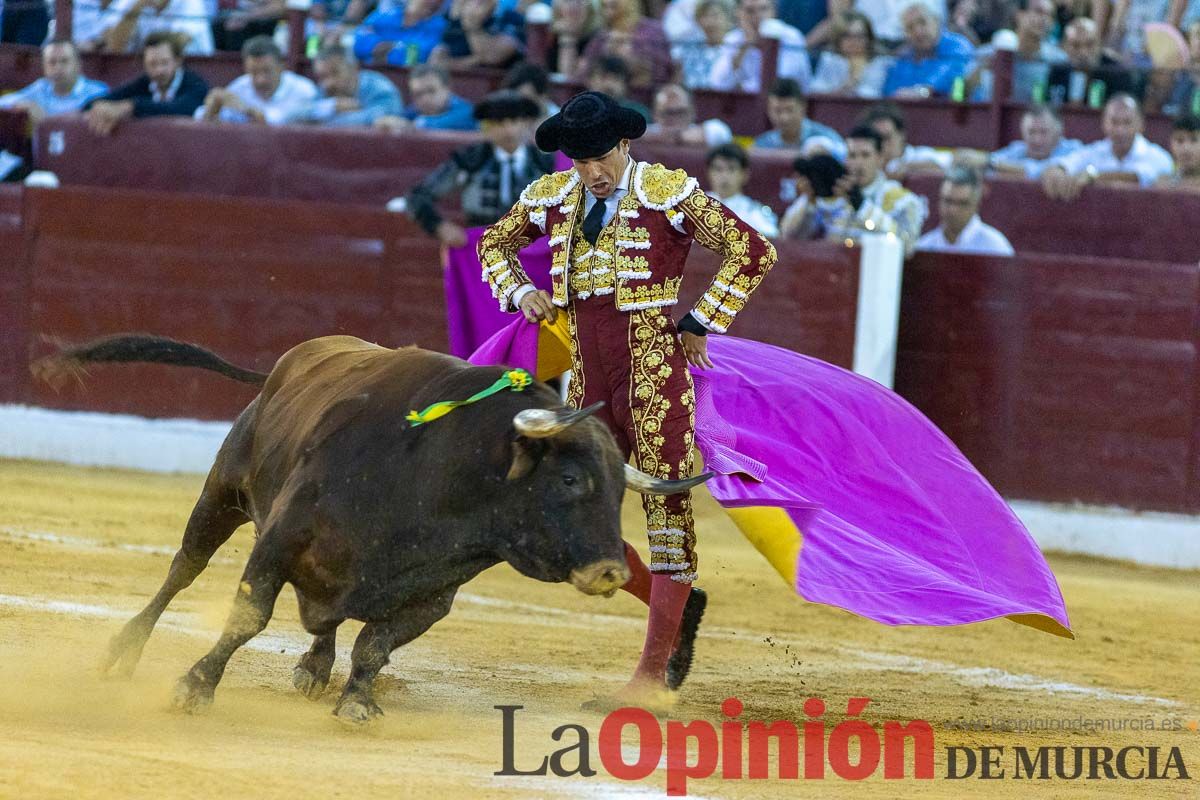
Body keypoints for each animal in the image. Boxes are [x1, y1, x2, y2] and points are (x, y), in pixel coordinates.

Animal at [37, 335, 705, 724]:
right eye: (569, 479)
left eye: (620, 491)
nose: (610, 569)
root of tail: (288, 364)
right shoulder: (281, 539)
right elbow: (248, 617)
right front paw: (195, 686)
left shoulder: (434, 593)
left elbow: (375, 645)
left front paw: (357, 701)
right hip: (221, 494)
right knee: (183, 570)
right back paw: (121, 652)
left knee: (328, 618)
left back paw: (314, 668)